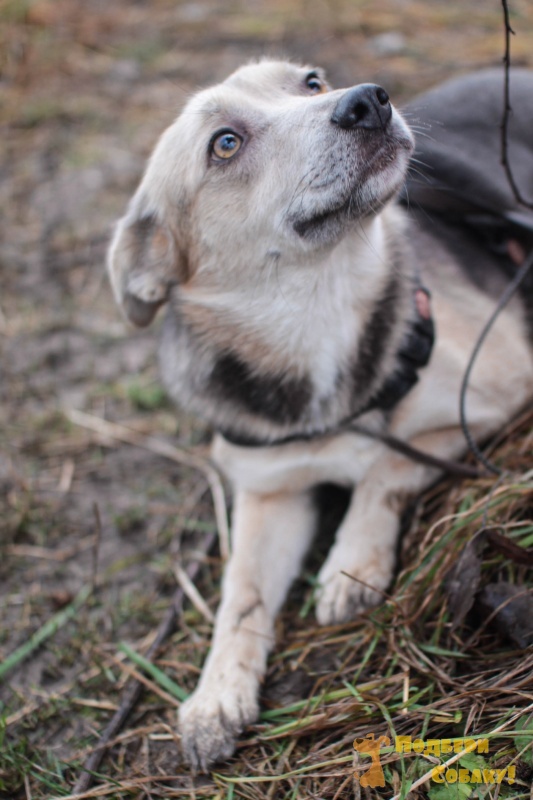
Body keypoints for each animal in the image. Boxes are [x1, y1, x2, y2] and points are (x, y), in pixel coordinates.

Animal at [107, 59, 532, 772]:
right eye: (225, 144)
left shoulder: (490, 399)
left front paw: (350, 565)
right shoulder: (270, 492)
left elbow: (385, 466)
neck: (316, 313)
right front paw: (214, 697)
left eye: (310, 81)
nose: (367, 102)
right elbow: (240, 595)